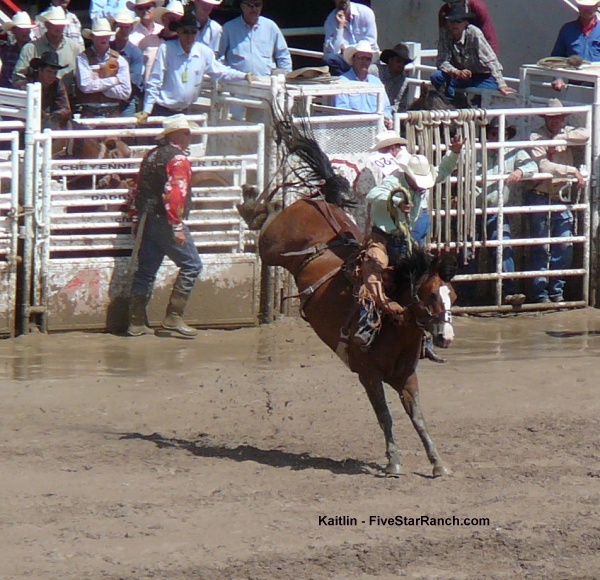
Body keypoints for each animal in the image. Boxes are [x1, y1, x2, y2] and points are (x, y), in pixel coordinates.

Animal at [239, 116, 460, 476]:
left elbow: (418, 419)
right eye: (429, 295)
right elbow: (385, 418)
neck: (394, 325)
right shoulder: (368, 375)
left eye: (452, 294)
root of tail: (317, 202)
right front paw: (393, 462)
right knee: (266, 218)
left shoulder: (406, 377)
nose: (446, 337)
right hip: (272, 247)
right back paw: (251, 200)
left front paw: (437, 463)